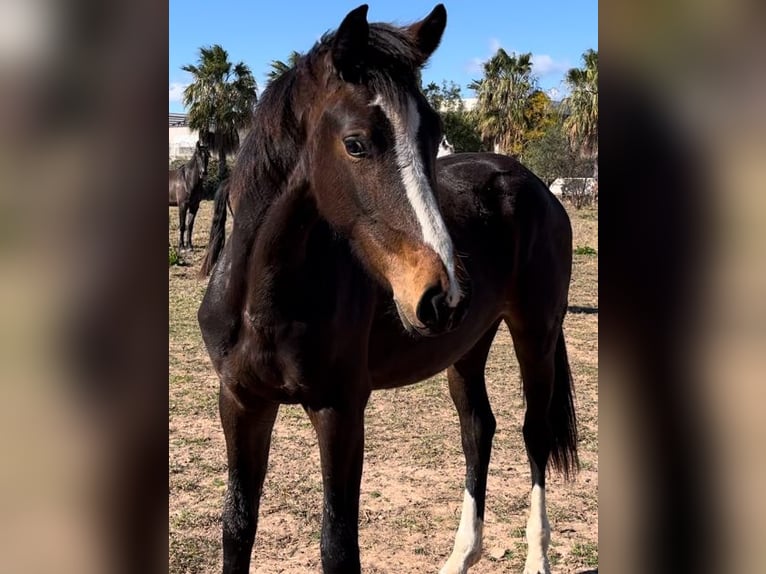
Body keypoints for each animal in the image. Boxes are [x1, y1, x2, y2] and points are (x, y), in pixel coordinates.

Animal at [198, 5, 576, 574]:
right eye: (356, 143)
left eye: (433, 135)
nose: (442, 294)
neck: (262, 304)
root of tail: (534, 185)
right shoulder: (241, 402)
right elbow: (237, 529)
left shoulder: (339, 410)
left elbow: (338, 545)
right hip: (469, 345)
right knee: (477, 430)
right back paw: (460, 557)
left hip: (535, 333)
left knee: (535, 433)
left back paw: (537, 558)